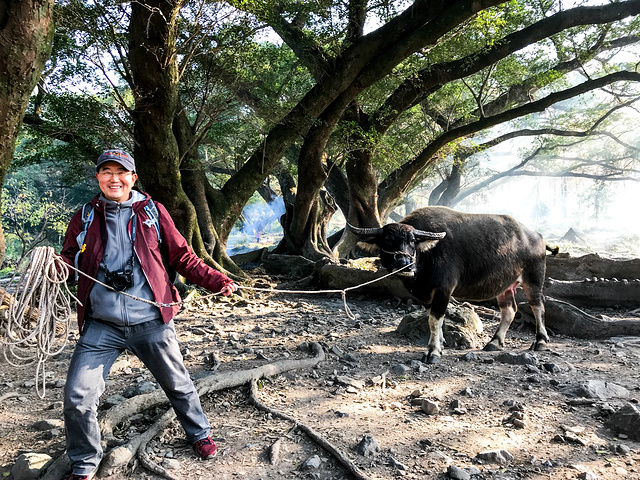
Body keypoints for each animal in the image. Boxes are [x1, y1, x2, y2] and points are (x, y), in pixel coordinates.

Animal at [352, 206, 556, 364]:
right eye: (387, 240)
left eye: (412, 240)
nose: (404, 263)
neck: (427, 256)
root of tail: (536, 236)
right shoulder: (426, 294)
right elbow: (434, 319)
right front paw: (440, 343)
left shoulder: (443, 290)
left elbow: (435, 319)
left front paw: (433, 351)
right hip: (505, 286)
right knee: (510, 310)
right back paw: (495, 342)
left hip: (533, 278)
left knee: (538, 306)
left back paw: (540, 341)